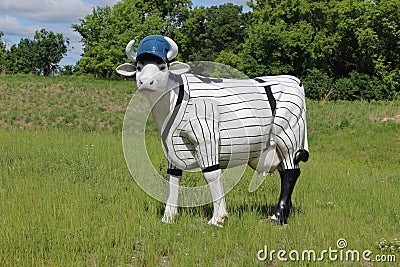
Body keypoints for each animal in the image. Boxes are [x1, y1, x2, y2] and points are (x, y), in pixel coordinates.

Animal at [115, 35, 310, 227]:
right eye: (139, 67)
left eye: (162, 67)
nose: (145, 82)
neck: (170, 103)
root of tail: (292, 79)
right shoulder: (172, 145)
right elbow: (173, 177)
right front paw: (168, 217)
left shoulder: (206, 137)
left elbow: (211, 175)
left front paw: (218, 218)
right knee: (285, 172)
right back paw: (285, 214)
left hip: (288, 135)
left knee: (291, 173)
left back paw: (277, 216)